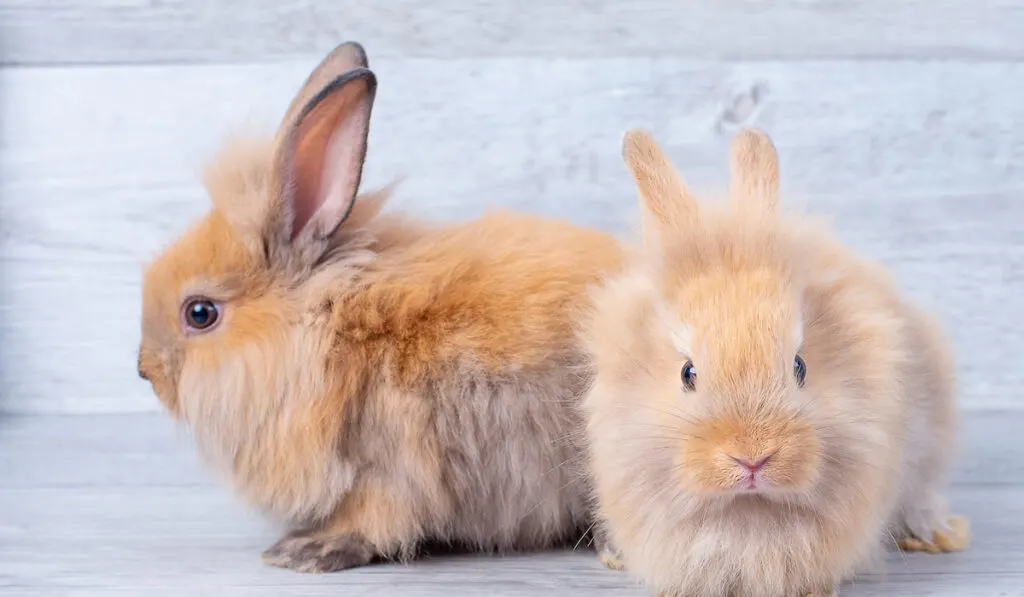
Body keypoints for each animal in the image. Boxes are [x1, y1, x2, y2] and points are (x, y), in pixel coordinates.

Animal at [135, 40, 622, 573]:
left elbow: (374, 520)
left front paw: (304, 551)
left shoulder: (387, 470)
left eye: (200, 313)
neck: (325, 337)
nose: (144, 371)